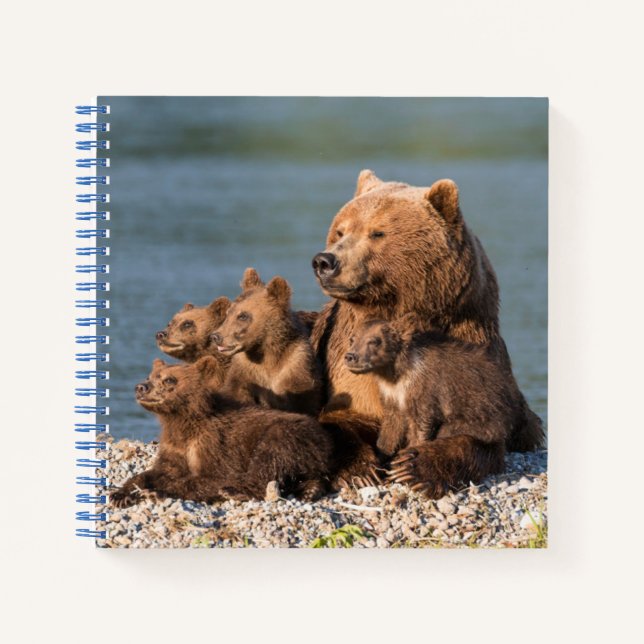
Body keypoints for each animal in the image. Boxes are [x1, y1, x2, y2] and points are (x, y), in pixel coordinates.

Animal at [110, 356, 334, 507]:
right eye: (149, 376)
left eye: (169, 380)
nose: (141, 387)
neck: (182, 420)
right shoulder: (175, 446)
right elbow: (159, 470)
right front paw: (121, 494)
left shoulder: (216, 443)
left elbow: (215, 476)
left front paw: (157, 491)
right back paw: (310, 490)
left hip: (289, 434)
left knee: (269, 460)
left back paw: (234, 491)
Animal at [211, 268, 323, 416]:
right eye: (229, 312)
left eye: (243, 316)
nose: (216, 336)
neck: (265, 352)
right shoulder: (245, 371)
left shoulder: (297, 368)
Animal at [345, 314, 520, 497]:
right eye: (353, 338)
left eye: (374, 341)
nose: (351, 356)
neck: (396, 373)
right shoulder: (392, 396)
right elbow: (391, 428)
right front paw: (379, 462)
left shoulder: (426, 390)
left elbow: (421, 424)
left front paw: (404, 462)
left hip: (485, 417)